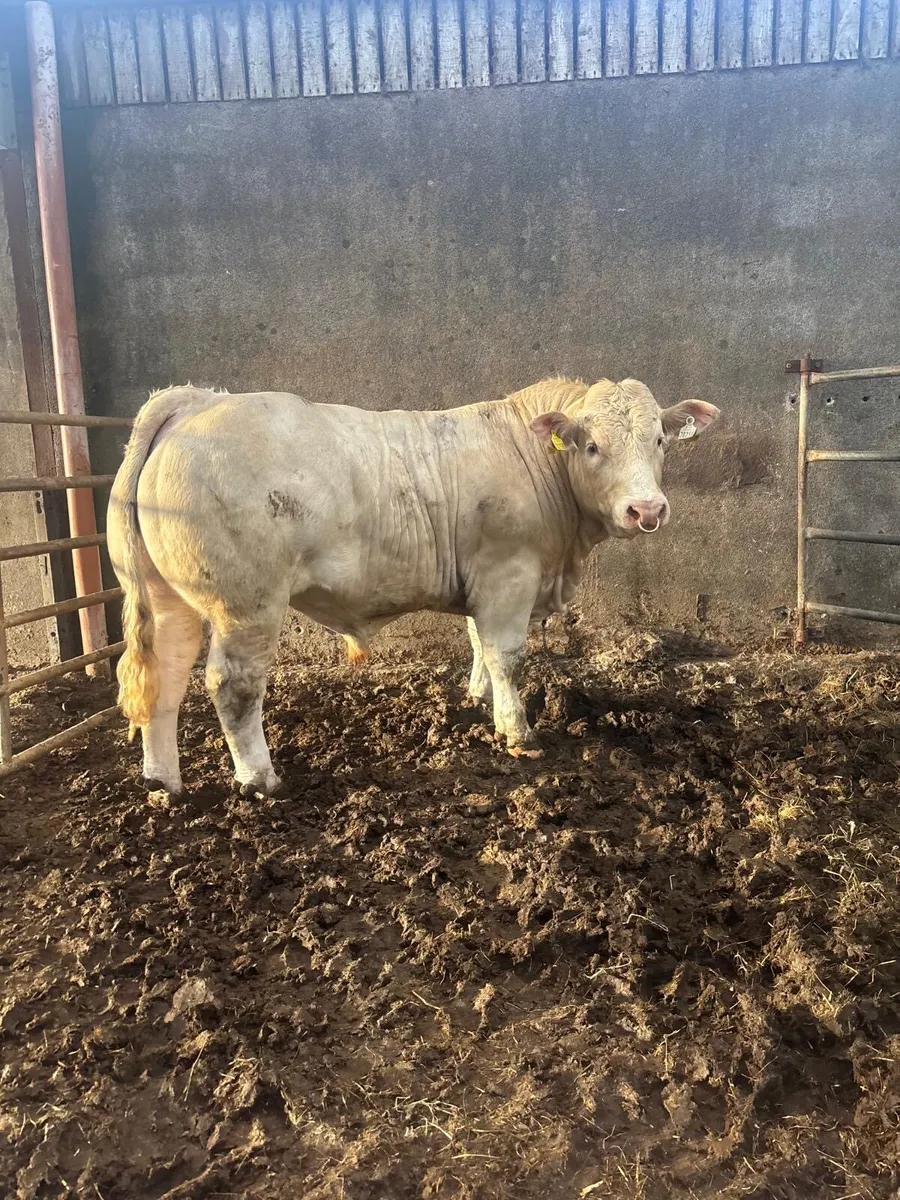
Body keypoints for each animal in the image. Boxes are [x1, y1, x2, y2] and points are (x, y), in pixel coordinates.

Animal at [107, 377, 719, 796]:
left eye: (660, 440)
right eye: (592, 446)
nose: (647, 509)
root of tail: (196, 401)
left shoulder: (483, 577)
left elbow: (478, 644)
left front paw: (479, 699)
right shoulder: (509, 573)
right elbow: (507, 655)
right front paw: (517, 732)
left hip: (168, 596)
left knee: (165, 674)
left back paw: (162, 780)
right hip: (246, 603)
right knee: (232, 685)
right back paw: (260, 779)